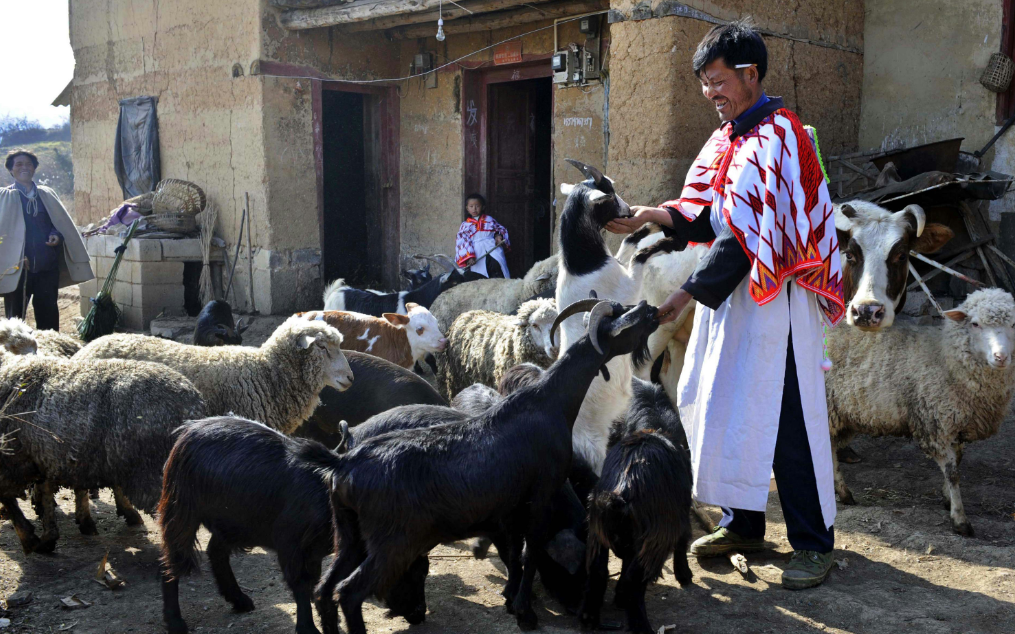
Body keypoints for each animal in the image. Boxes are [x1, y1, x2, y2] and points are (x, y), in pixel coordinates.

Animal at [0, 350, 204, 551]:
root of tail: (192, 406)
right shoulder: (60, 457)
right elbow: (52, 492)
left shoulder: (15, 461)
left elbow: (12, 499)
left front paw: (32, 539)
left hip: (153, 472)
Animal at [158, 415, 428, 632]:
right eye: (409, 573)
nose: (419, 614)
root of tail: (190, 428)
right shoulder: (291, 544)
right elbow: (300, 583)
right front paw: (308, 627)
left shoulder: (314, 551)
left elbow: (315, 583)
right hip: (180, 510)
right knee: (171, 560)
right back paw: (175, 621)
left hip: (232, 521)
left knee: (216, 551)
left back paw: (239, 599)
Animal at [304, 298, 661, 632]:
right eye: (628, 319)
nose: (654, 311)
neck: (550, 402)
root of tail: (344, 464)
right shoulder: (542, 492)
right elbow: (531, 551)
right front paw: (526, 613)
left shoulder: (511, 507)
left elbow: (515, 554)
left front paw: (513, 601)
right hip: (392, 541)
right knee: (348, 592)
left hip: (349, 533)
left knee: (323, 589)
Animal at [824, 288, 1015, 535]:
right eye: (975, 324)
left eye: (1014, 324)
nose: (1000, 357)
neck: (946, 359)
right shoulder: (934, 424)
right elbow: (953, 473)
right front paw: (960, 519)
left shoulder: (955, 422)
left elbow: (958, 461)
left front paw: (946, 498)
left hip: (843, 415)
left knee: (830, 448)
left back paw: (843, 492)